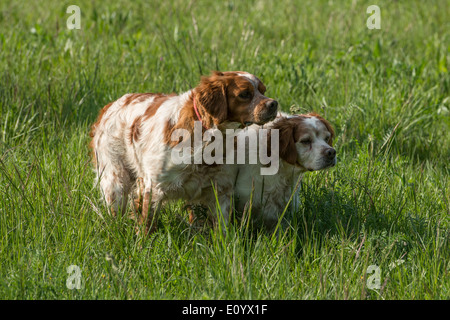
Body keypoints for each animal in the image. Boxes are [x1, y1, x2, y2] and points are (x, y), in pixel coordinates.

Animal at [89, 71, 278, 234]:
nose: (273, 104)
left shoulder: (221, 189)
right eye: (245, 94)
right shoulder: (153, 186)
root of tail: (112, 105)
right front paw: (142, 248)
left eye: (263, 90)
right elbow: (147, 226)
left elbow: (221, 229)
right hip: (115, 181)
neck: (207, 136)